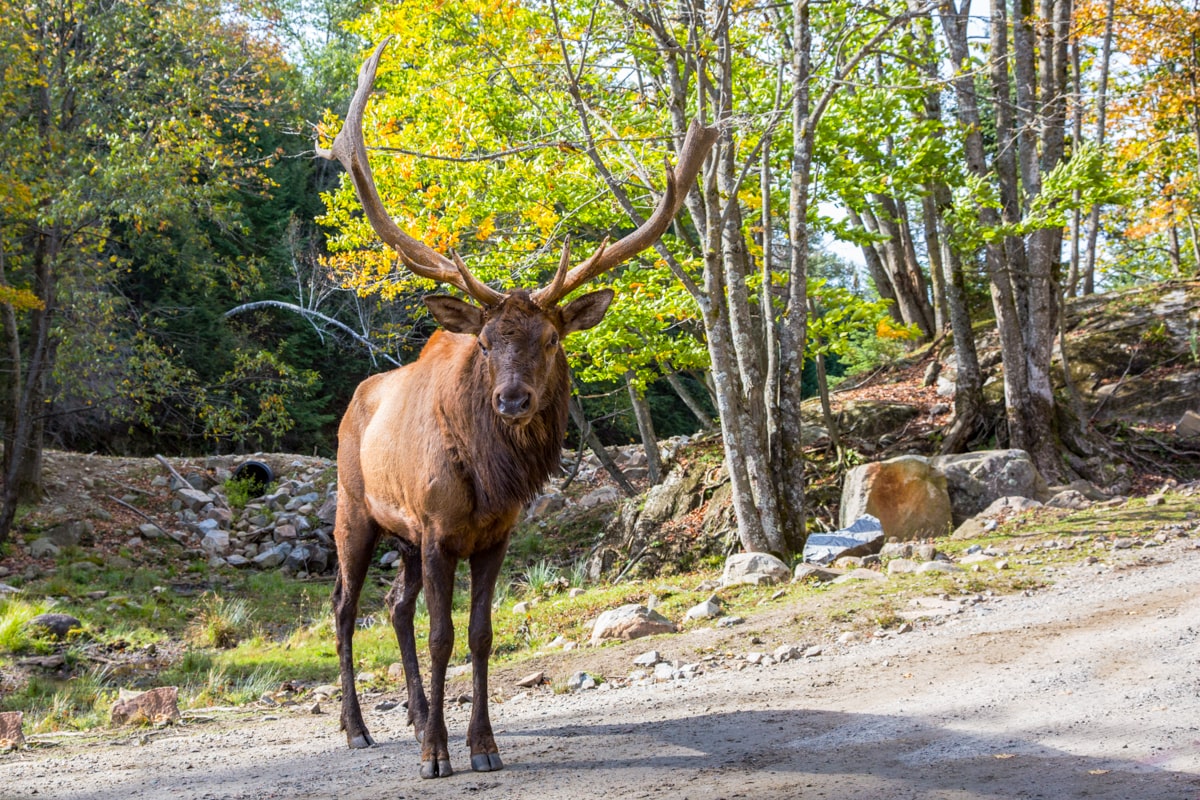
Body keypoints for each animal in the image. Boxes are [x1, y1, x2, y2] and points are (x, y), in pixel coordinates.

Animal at [314, 38, 715, 782]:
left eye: (551, 339)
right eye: (487, 341)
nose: (513, 398)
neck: (487, 479)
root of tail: (355, 402)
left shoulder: (494, 535)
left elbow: (478, 635)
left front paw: (481, 744)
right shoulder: (436, 528)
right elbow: (443, 635)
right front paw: (437, 756)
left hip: (401, 537)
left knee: (394, 607)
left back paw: (414, 714)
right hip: (355, 512)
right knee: (345, 608)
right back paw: (357, 729)